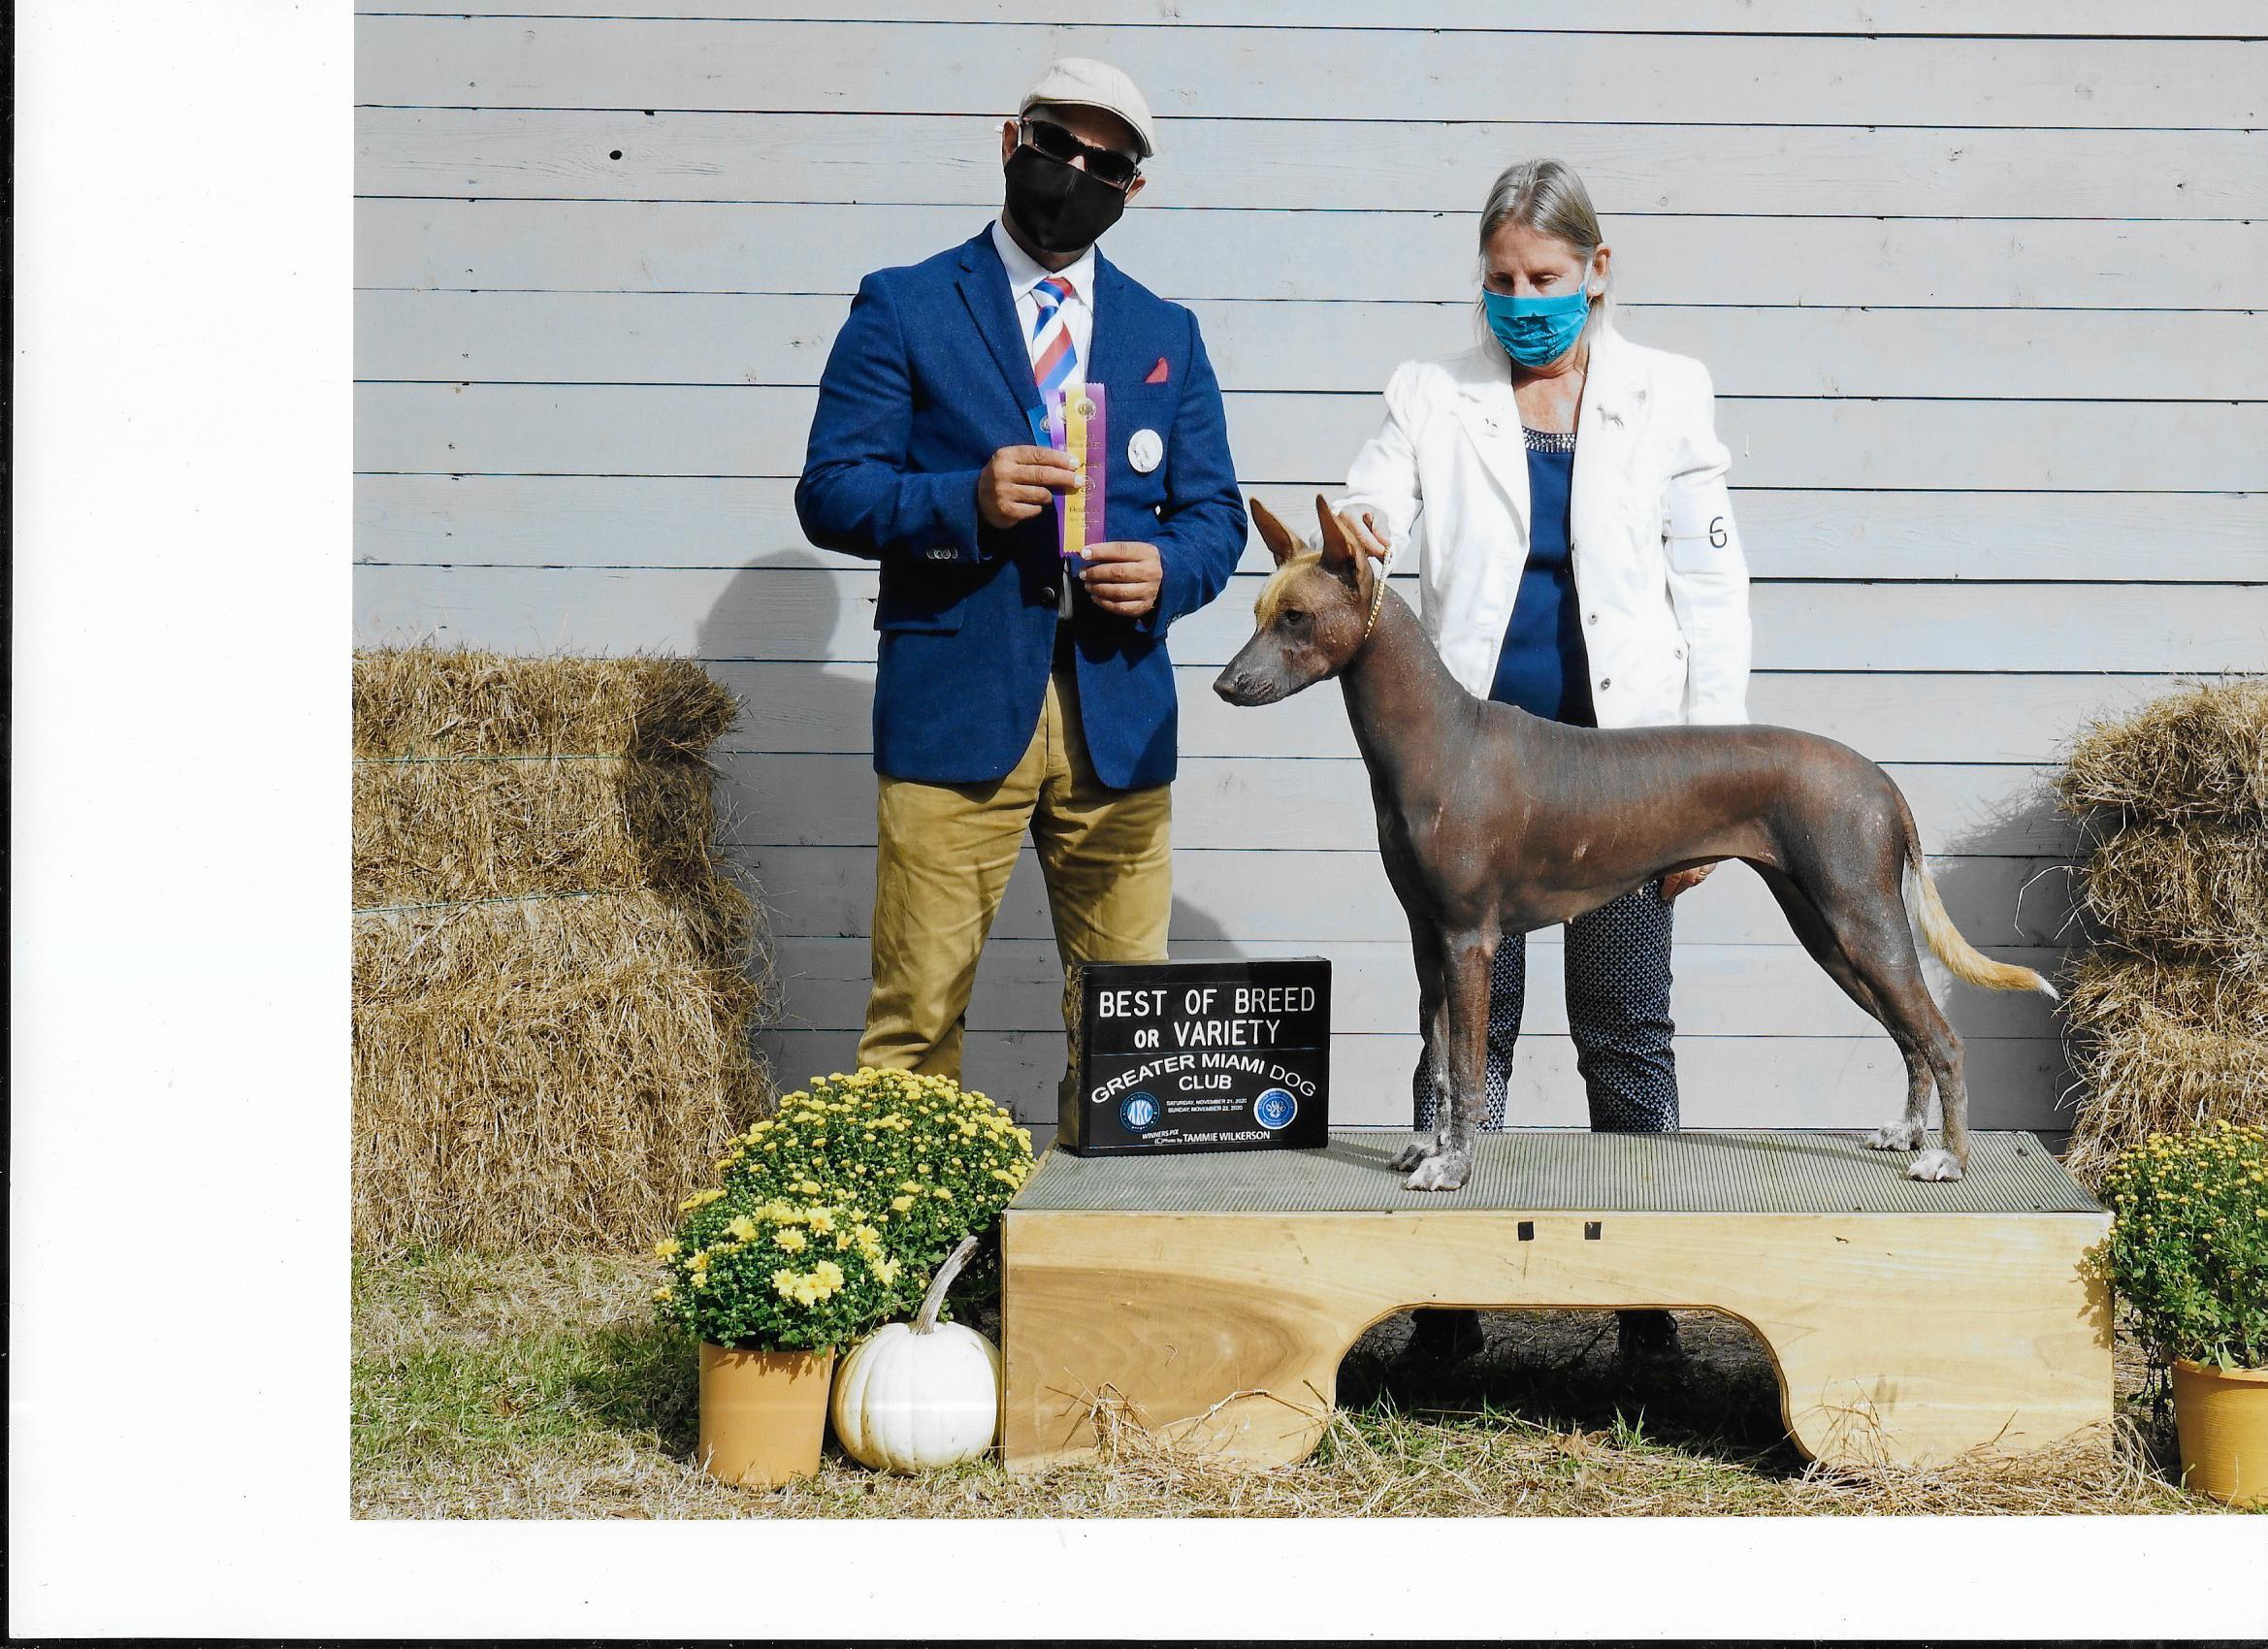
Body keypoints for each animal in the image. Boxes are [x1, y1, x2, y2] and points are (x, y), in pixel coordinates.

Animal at [1213, 497, 2055, 1192]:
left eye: (1295, 617)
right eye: (1256, 611)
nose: (1224, 686)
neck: (1438, 739)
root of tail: (1880, 780)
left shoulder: (1469, 939)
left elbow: (1467, 1065)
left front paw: (1453, 1166)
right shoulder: (1427, 937)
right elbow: (1439, 1059)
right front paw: (1428, 1147)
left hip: (1862, 920)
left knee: (1942, 1039)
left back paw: (1949, 1158)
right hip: (1830, 932)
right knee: (1909, 1037)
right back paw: (1908, 1134)